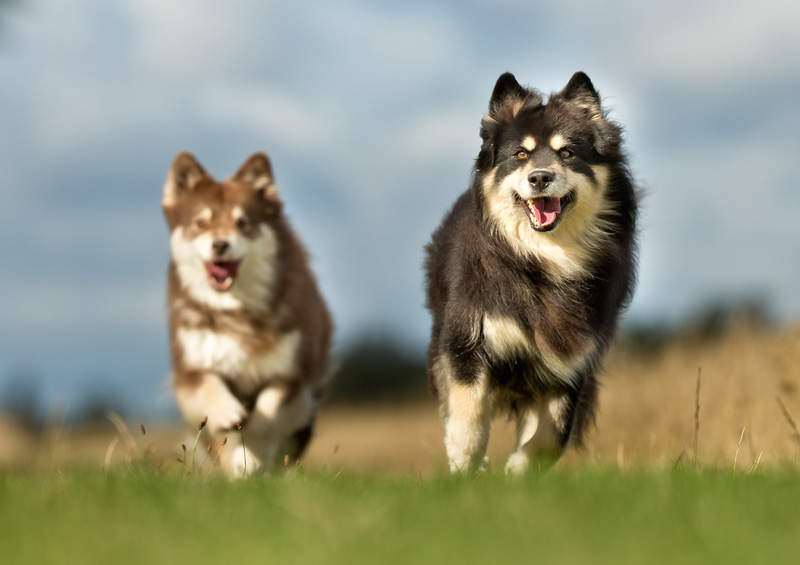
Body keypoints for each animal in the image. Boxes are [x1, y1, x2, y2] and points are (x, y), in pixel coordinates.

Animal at [162, 151, 332, 476]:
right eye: (201, 222)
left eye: (243, 223)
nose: (220, 244)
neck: (237, 310)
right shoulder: (191, 365)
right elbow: (209, 386)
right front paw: (229, 414)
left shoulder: (291, 373)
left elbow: (269, 408)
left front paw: (251, 454)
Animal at [424, 72, 636, 474]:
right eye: (521, 155)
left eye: (566, 153)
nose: (539, 178)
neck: (543, 258)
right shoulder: (467, 340)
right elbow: (468, 414)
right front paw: (465, 463)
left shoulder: (569, 360)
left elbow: (554, 433)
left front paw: (518, 470)